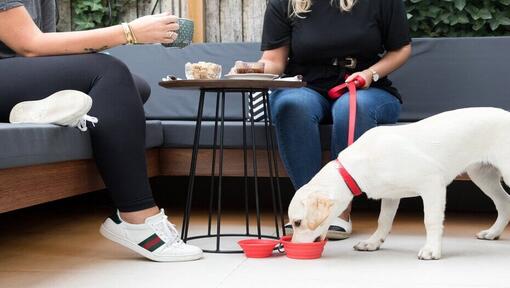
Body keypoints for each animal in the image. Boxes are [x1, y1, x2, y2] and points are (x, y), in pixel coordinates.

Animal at [288, 107, 510, 260]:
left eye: (298, 223)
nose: (295, 247)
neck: (354, 168)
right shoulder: (391, 196)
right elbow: (383, 221)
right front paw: (373, 242)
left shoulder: (432, 183)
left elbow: (431, 221)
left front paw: (432, 249)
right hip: (482, 176)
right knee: (504, 202)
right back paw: (493, 232)